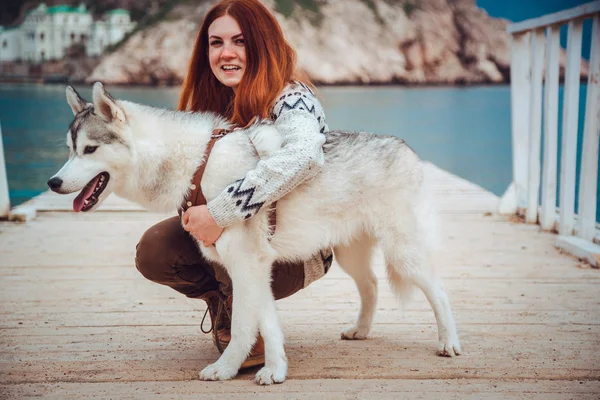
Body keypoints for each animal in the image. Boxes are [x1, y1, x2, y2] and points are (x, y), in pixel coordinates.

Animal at [49, 83, 462, 386]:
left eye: (90, 149)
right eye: (70, 150)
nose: (53, 183)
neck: (197, 164)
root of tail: (405, 147)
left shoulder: (246, 264)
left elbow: (245, 326)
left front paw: (228, 369)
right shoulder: (253, 268)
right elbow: (267, 324)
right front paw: (275, 369)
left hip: (403, 254)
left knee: (439, 290)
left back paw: (449, 342)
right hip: (351, 254)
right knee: (372, 286)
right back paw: (361, 330)